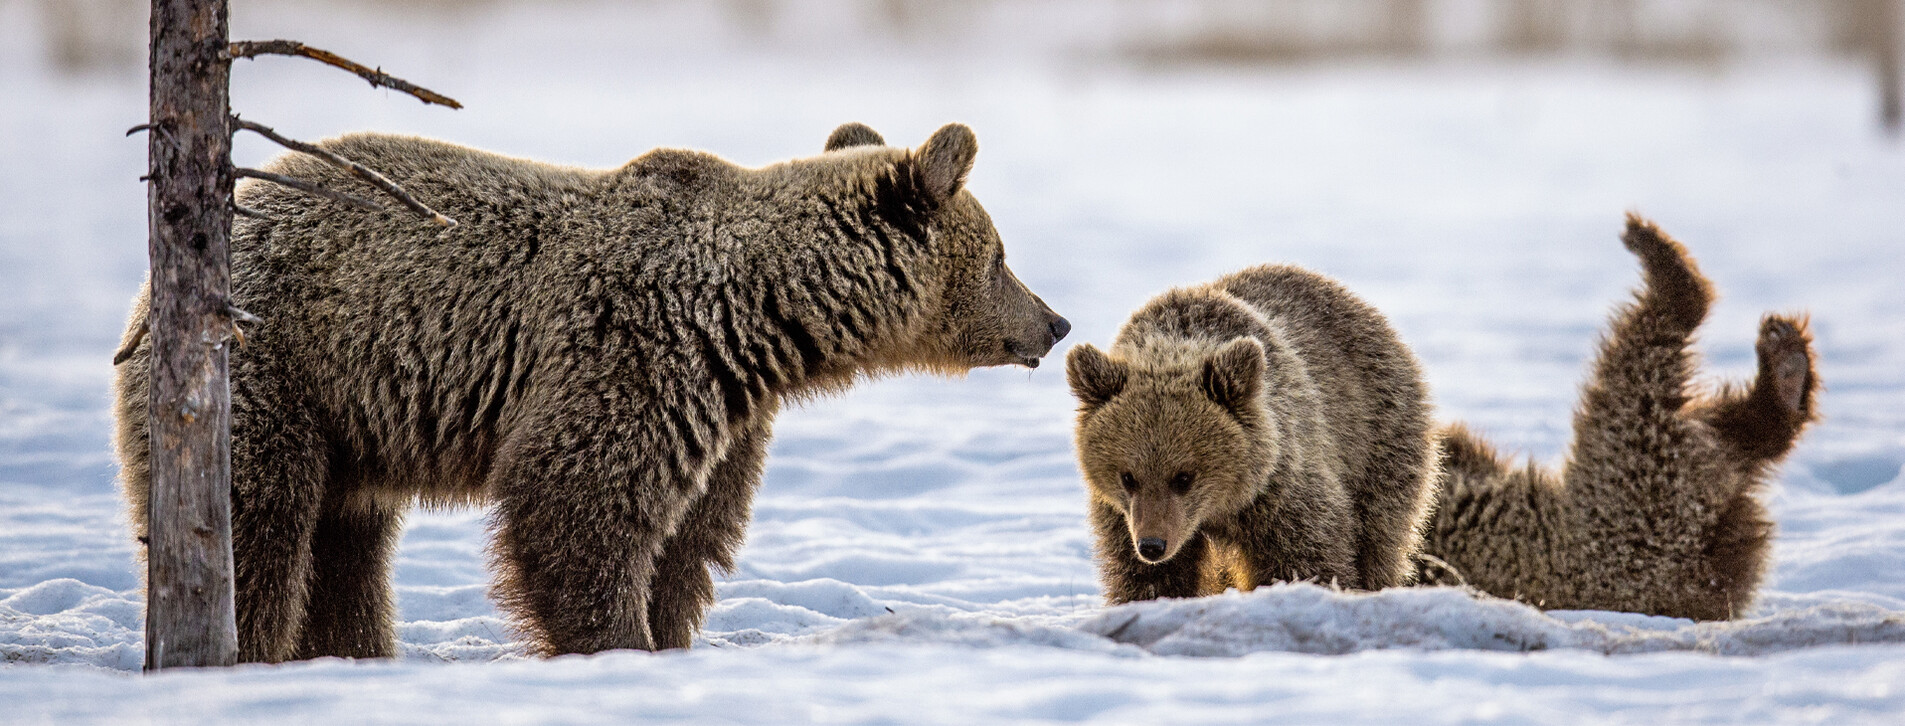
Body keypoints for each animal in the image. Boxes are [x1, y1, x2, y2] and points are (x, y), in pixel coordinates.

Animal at [115, 121, 1074, 659]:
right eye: (1000, 256)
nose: (1056, 323)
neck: (762, 319)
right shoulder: (636, 352)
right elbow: (580, 502)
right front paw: (614, 641)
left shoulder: (729, 414)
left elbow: (691, 537)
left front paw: (669, 634)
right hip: (280, 364)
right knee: (261, 520)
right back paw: (248, 646)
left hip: (355, 416)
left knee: (347, 543)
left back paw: (353, 654)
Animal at [1066, 262, 1432, 598]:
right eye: (1128, 477)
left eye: (1184, 477)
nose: (1153, 545)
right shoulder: (1120, 516)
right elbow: (1145, 578)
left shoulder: (1280, 490)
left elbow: (1308, 556)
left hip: (1377, 440)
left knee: (1379, 537)